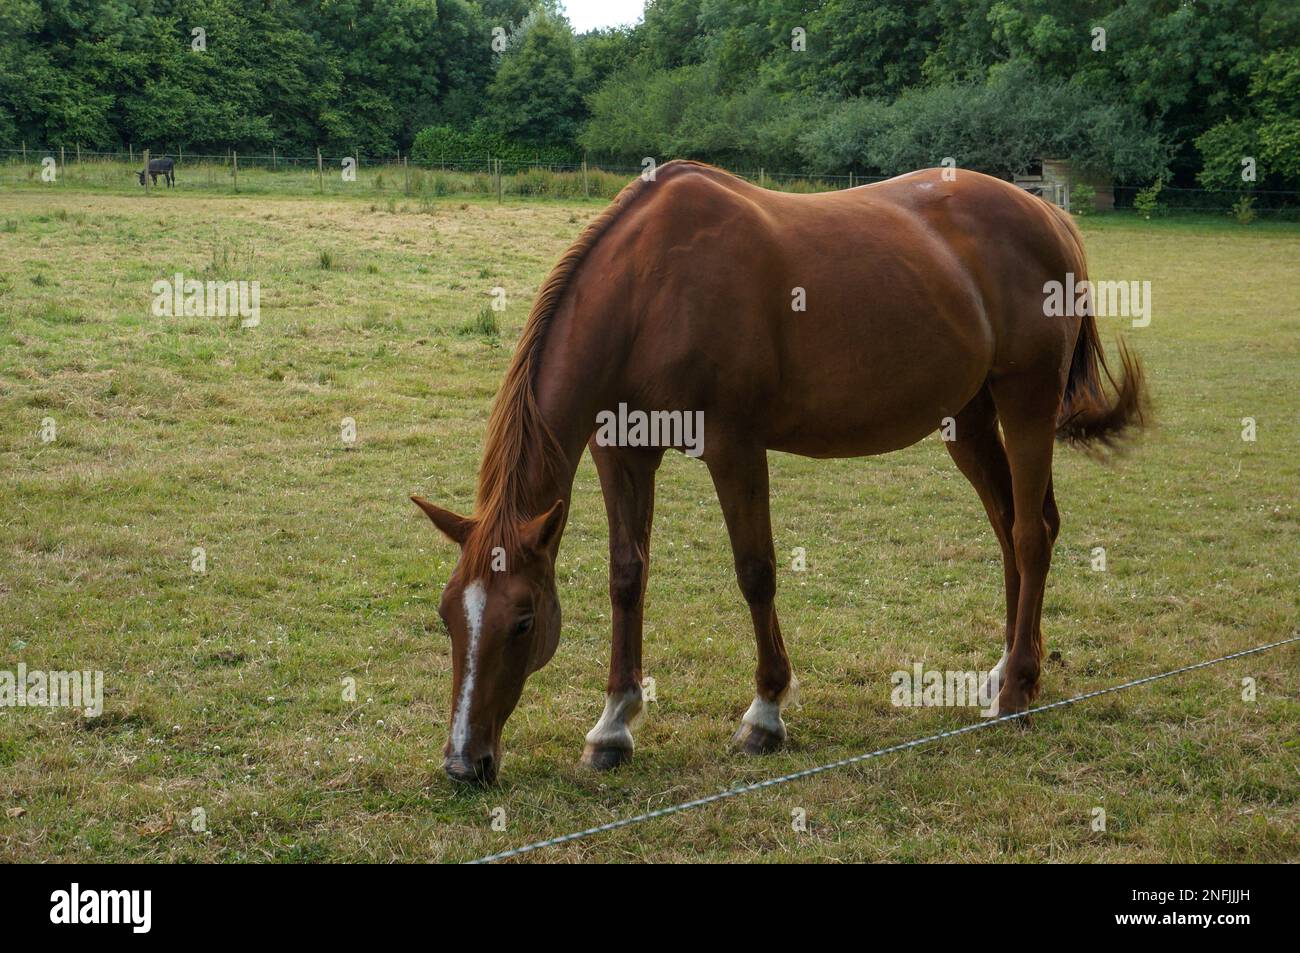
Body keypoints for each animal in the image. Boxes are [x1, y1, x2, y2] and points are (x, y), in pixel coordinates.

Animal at [408, 161, 1149, 780]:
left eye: (523, 620)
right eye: (448, 617)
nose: (464, 762)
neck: (650, 289)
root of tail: (1047, 214)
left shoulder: (734, 445)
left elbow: (755, 571)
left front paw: (765, 715)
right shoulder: (619, 451)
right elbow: (627, 577)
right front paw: (613, 725)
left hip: (1026, 401)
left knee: (1030, 533)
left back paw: (1017, 688)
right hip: (966, 418)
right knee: (1007, 525)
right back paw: (1003, 670)